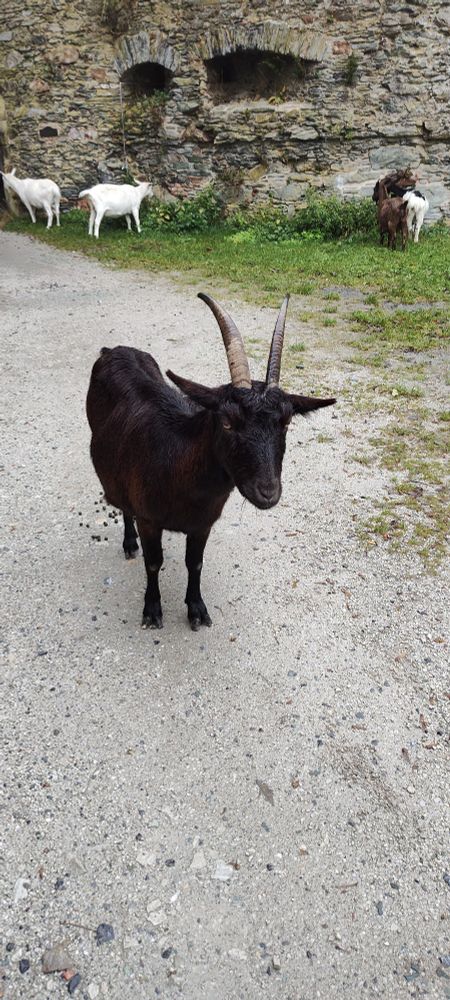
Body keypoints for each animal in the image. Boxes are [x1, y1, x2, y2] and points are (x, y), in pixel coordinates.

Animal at [86, 294, 336, 630]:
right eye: (227, 422)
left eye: (286, 423)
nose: (268, 492)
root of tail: (112, 350)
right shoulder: (149, 520)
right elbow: (153, 563)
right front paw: (152, 610)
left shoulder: (203, 524)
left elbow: (195, 563)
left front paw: (197, 609)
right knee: (124, 505)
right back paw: (129, 543)